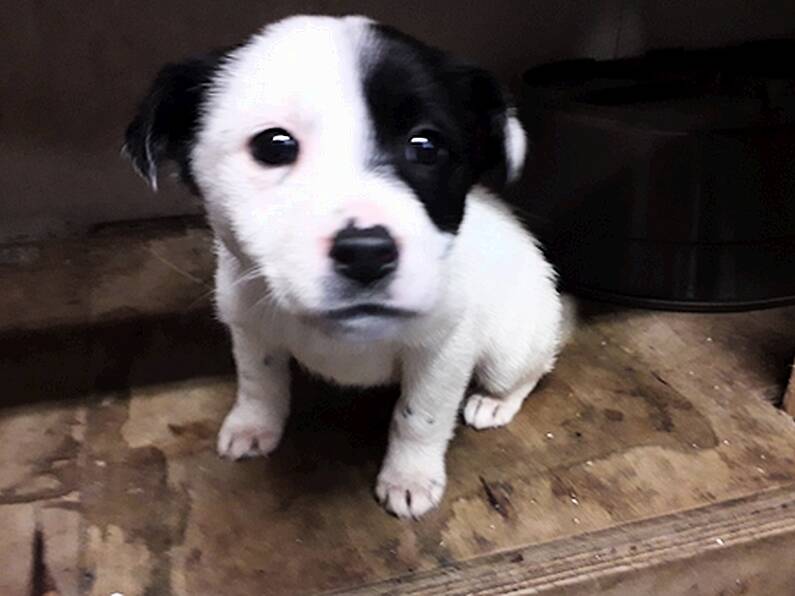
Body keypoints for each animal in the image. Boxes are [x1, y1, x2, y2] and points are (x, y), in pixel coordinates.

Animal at [124, 14, 564, 516]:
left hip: (510, 348)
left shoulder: (442, 350)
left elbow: (420, 416)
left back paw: (494, 403)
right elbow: (259, 381)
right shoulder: (252, 327)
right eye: (274, 146)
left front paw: (410, 476)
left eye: (426, 147)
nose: (366, 253)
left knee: (531, 370)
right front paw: (253, 425)